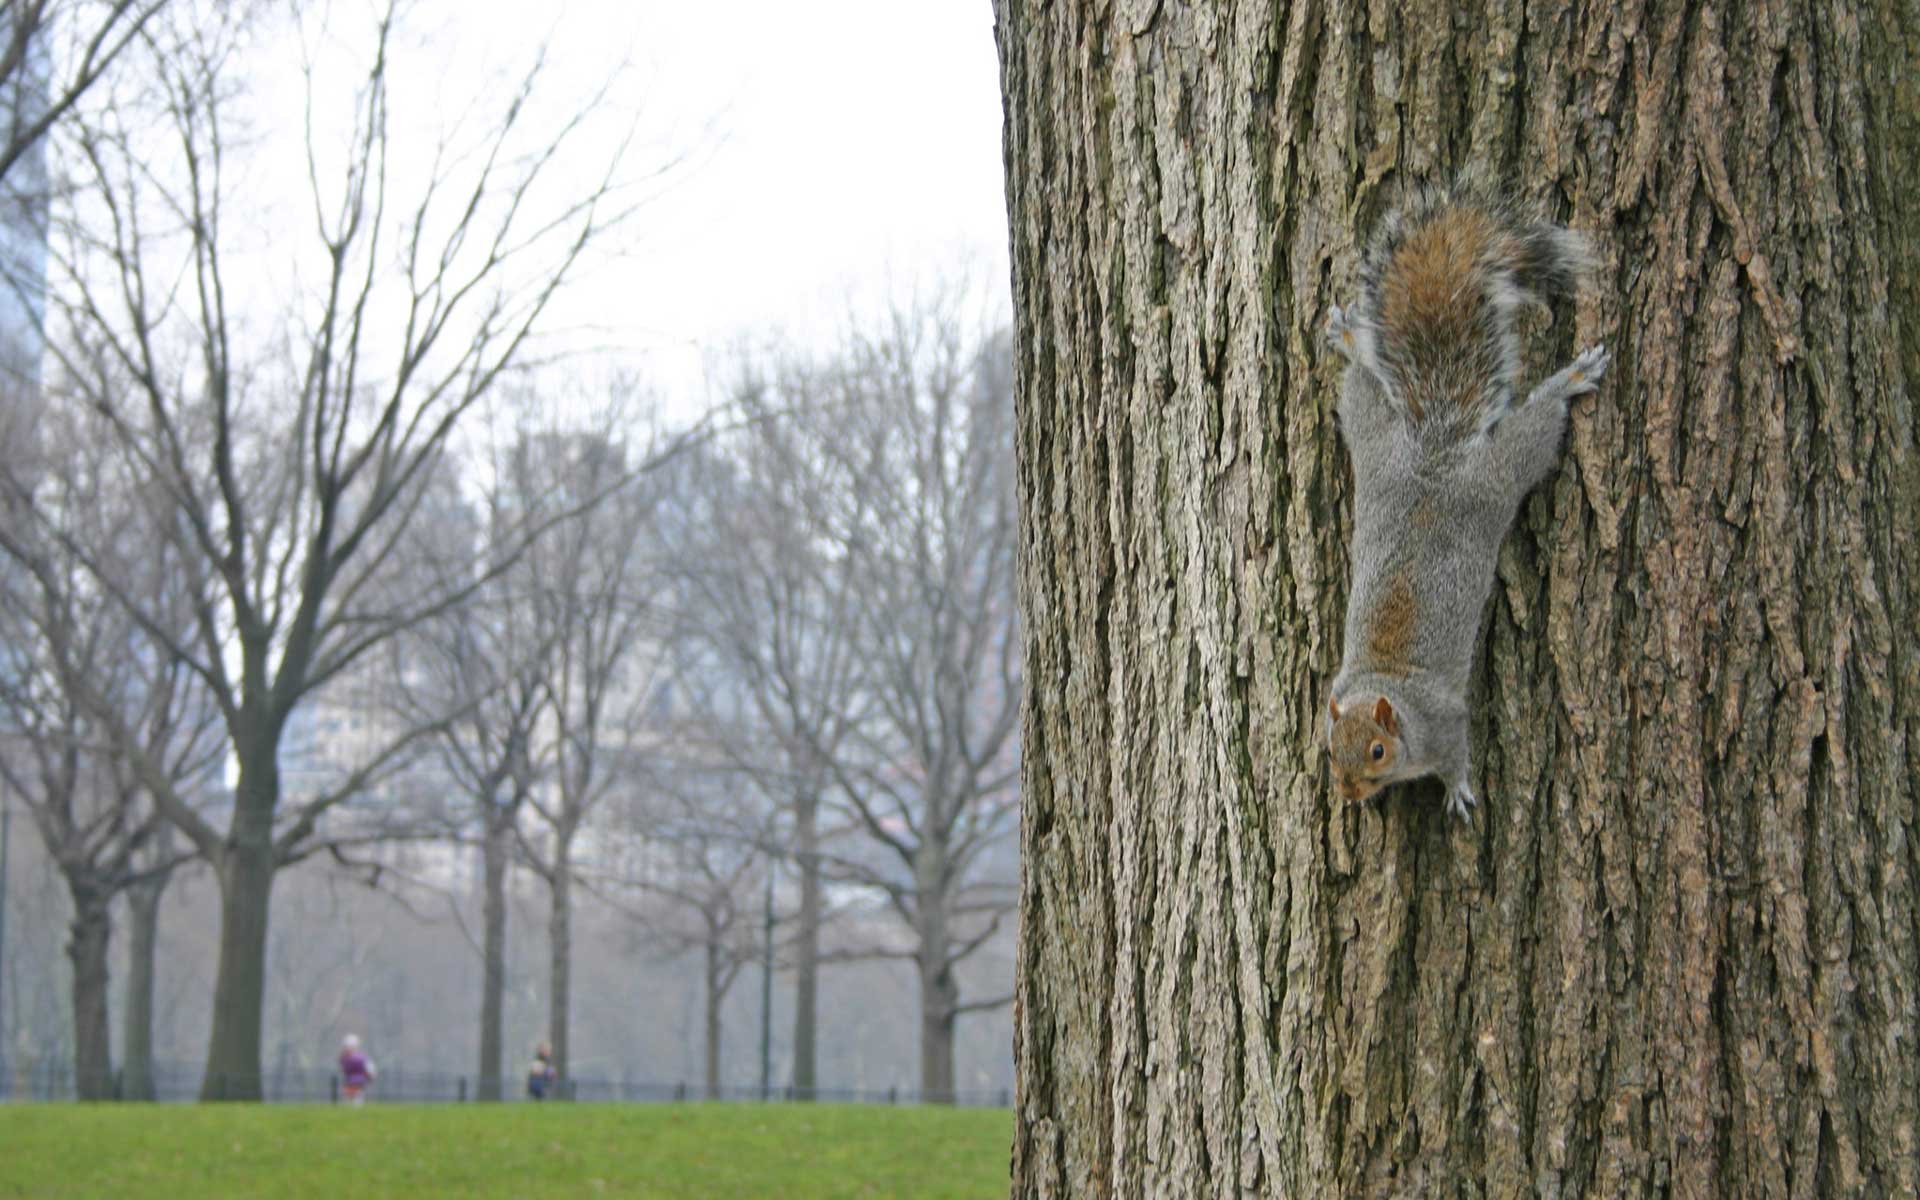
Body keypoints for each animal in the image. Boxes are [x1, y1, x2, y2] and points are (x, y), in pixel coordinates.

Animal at [1323, 178, 1608, 819]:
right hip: (1374, 438)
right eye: (1330, 749)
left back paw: (1570, 380)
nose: (1348, 791)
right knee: (1363, 385)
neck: (1386, 686)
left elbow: (1456, 757)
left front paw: (1457, 791)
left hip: (1498, 473)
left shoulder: (1446, 726)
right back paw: (1351, 339)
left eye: (1376, 750)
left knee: (1535, 428)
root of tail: (1436, 455)